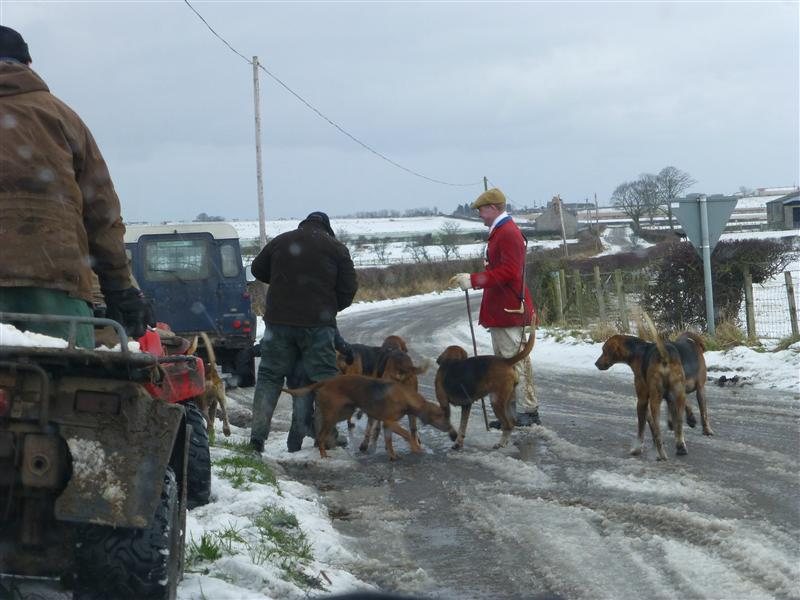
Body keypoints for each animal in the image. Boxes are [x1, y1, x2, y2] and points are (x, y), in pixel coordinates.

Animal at [283, 374, 457, 461]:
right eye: (444, 417)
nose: (453, 433)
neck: (406, 397)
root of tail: (324, 382)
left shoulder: (387, 425)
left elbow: (389, 442)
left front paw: (393, 456)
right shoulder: (389, 421)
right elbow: (408, 434)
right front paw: (416, 448)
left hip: (342, 412)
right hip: (333, 414)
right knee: (320, 436)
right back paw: (324, 456)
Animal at [594, 328, 710, 460]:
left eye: (604, 350)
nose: (596, 363)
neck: (638, 352)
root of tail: (664, 356)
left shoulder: (642, 400)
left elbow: (642, 429)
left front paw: (637, 448)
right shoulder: (659, 399)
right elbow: (653, 424)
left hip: (658, 400)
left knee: (661, 429)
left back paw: (662, 453)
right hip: (678, 395)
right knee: (679, 424)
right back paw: (681, 446)